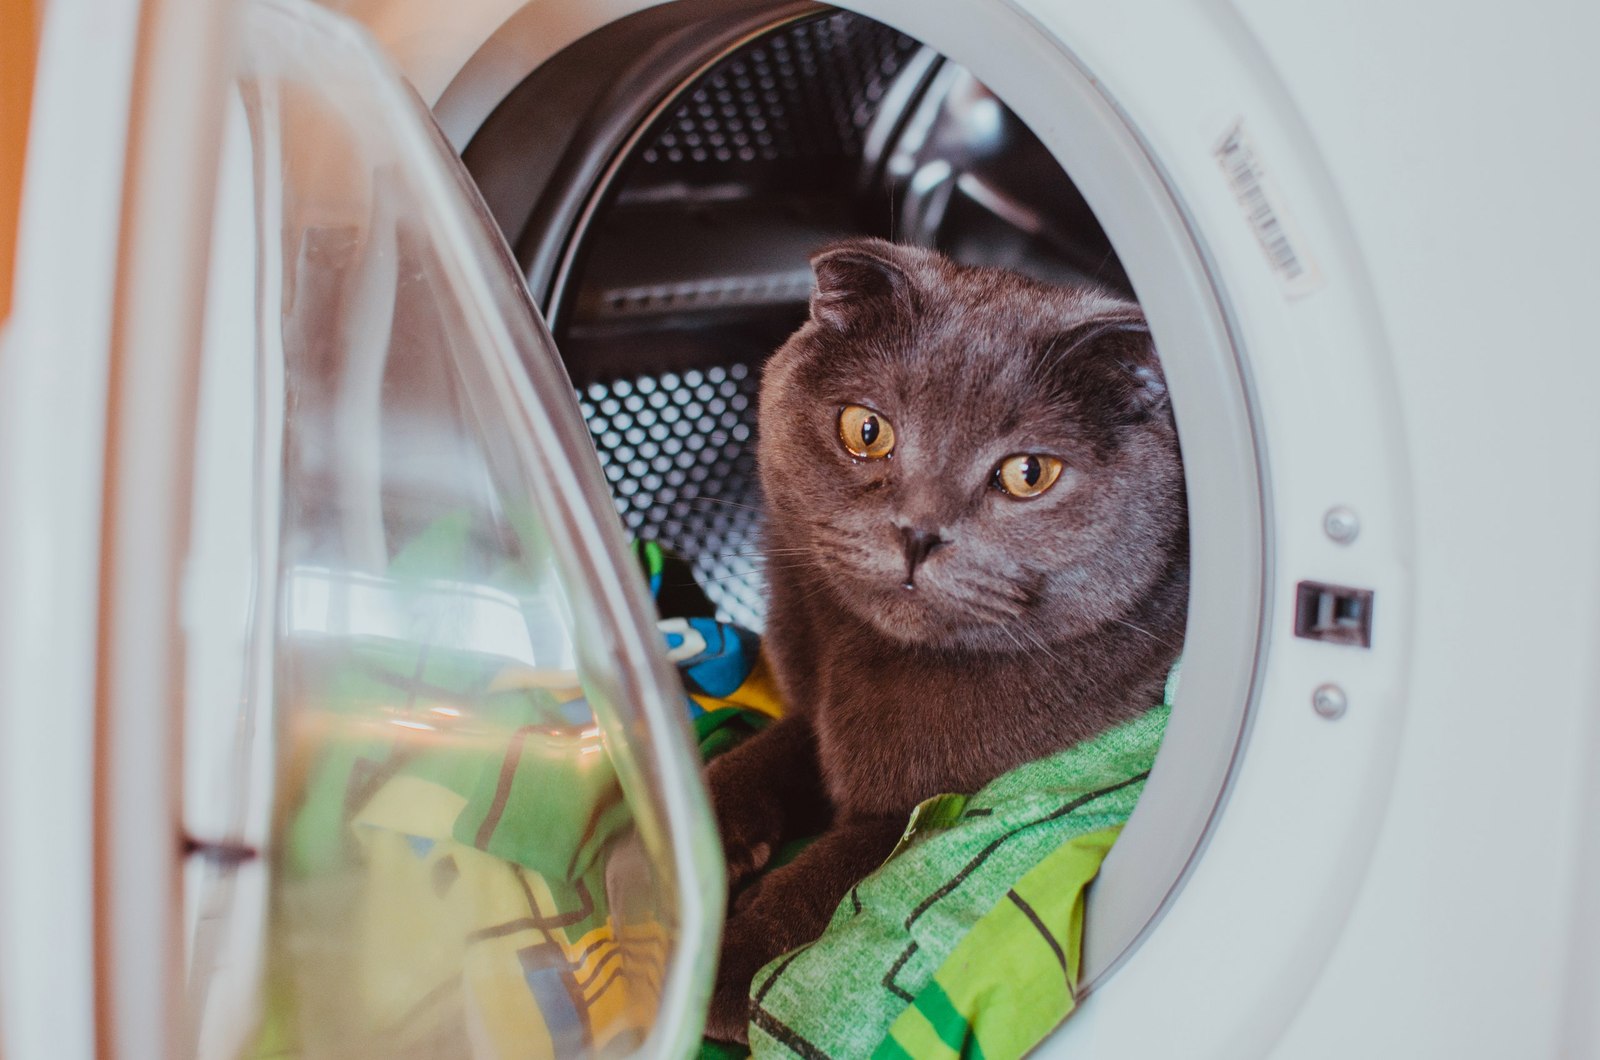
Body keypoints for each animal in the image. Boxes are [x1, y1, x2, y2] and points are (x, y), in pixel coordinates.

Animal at [704, 240, 1190, 1043]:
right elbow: (754, 760)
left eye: (1029, 472)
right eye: (866, 429)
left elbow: (843, 868)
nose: (918, 532)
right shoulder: (810, 713)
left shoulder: (939, 803)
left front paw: (725, 966)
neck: (858, 670)